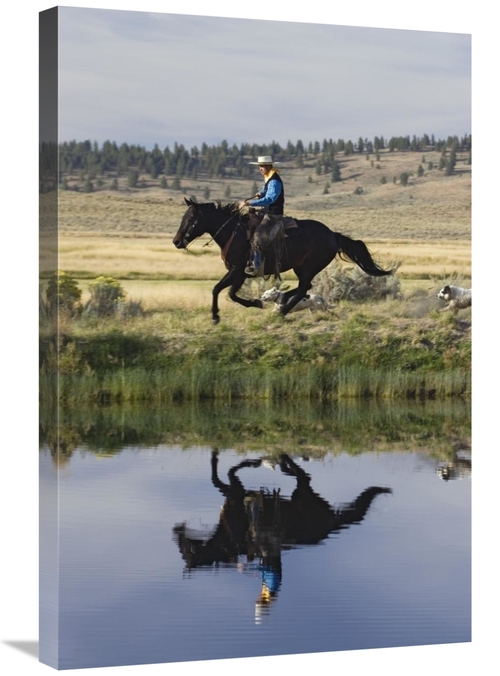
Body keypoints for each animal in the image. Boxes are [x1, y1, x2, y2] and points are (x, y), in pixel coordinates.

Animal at [173, 198, 393, 324]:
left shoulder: (236, 270)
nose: (176, 241)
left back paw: (283, 309)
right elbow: (231, 294)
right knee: (303, 288)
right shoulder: (241, 273)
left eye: (191, 219)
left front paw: (215, 317)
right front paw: (256, 302)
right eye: (182, 217)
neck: (233, 234)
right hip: (300, 267)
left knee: (303, 288)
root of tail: (333, 235)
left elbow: (217, 289)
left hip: (308, 267)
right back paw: (283, 300)